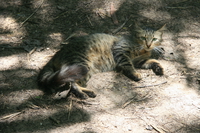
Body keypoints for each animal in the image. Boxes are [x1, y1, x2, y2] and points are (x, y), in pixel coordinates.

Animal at [37, 24, 166, 98]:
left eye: (154, 39)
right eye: (143, 38)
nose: (148, 44)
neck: (142, 50)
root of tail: (56, 54)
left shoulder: (138, 61)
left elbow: (151, 61)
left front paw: (158, 67)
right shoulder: (120, 52)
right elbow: (128, 65)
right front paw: (135, 74)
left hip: (84, 70)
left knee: (72, 83)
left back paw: (87, 92)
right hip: (82, 65)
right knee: (72, 84)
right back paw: (83, 94)